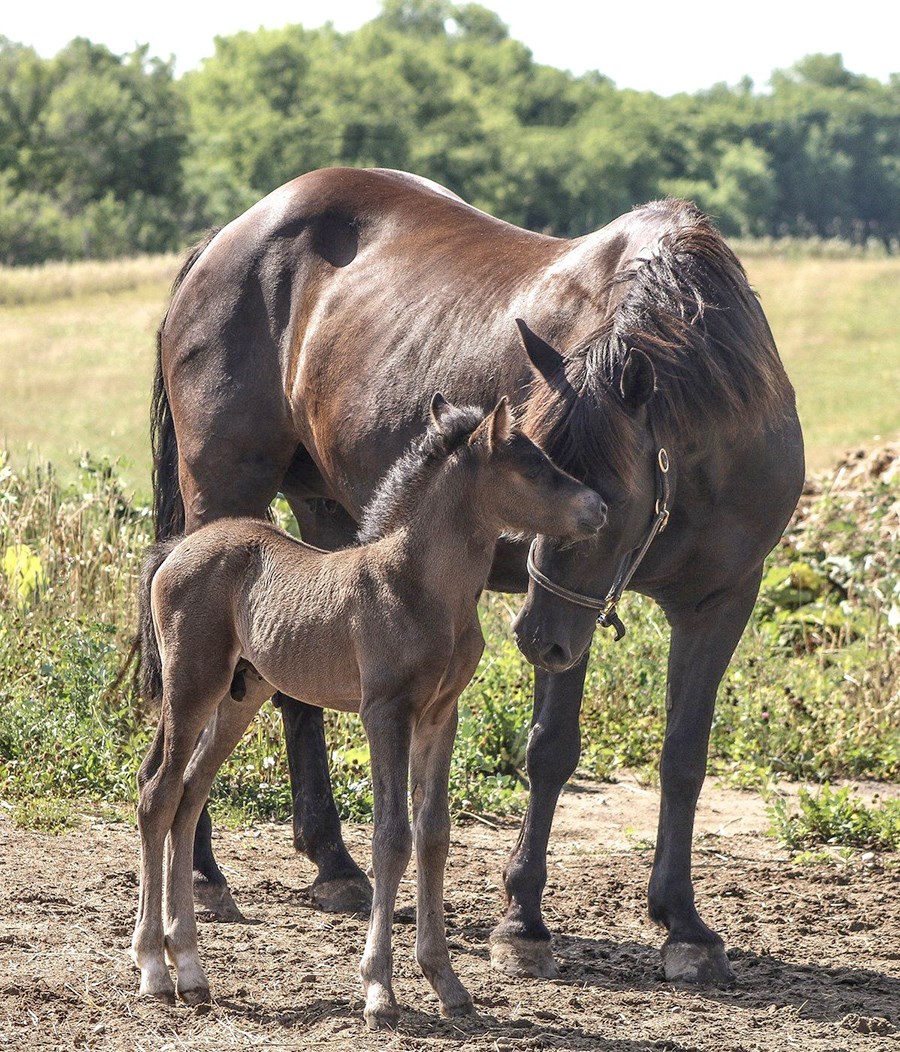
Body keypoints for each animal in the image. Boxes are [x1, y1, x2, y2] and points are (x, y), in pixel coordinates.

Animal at [131, 395, 605, 1026]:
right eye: (532, 468)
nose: (599, 508)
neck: (421, 589)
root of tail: (175, 550)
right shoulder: (385, 711)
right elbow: (391, 836)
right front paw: (379, 991)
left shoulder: (440, 715)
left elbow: (434, 833)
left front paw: (448, 984)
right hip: (191, 684)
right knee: (158, 793)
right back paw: (155, 970)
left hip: (239, 696)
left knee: (188, 795)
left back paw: (190, 968)